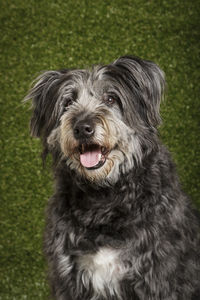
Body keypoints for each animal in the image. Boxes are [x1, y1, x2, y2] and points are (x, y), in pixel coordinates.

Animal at [25, 55, 200, 298]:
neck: (104, 197)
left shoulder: (159, 276)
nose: (83, 128)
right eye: (68, 103)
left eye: (110, 98)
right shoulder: (68, 279)